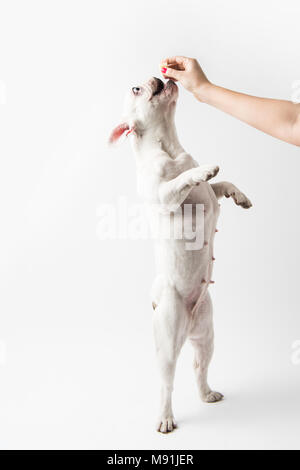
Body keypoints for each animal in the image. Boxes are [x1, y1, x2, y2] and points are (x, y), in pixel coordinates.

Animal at [109, 77, 252, 434]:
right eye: (135, 90)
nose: (157, 76)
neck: (170, 147)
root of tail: (185, 328)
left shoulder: (211, 195)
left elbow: (222, 185)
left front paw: (239, 195)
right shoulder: (165, 195)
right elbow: (185, 179)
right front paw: (204, 170)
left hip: (207, 335)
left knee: (199, 367)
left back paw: (207, 394)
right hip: (166, 341)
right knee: (166, 383)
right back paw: (165, 418)